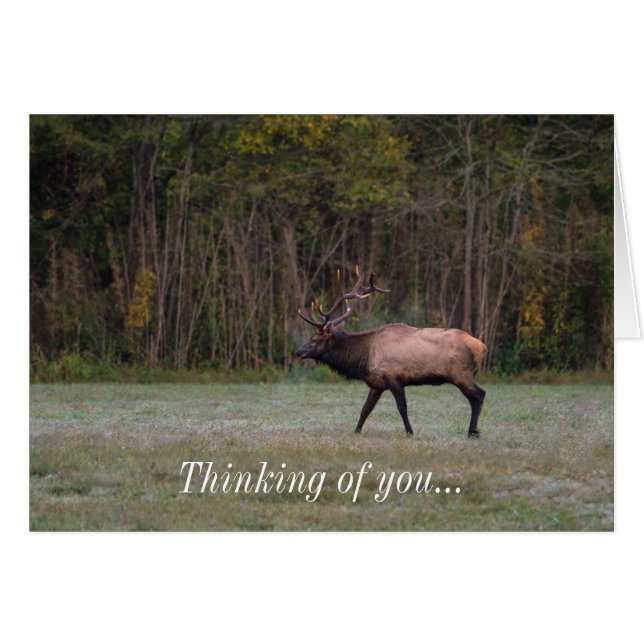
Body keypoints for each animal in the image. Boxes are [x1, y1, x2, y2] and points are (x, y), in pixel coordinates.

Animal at [295, 267, 487, 438]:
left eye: (314, 339)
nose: (298, 352)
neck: (364, 358)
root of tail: (482, 347)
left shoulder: (393, 377)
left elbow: (402, 407)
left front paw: (410, 432)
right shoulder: (377, 383)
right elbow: (365, 409)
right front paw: (356, 431)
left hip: (460, 373)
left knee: (479, 395)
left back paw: (472, 432)